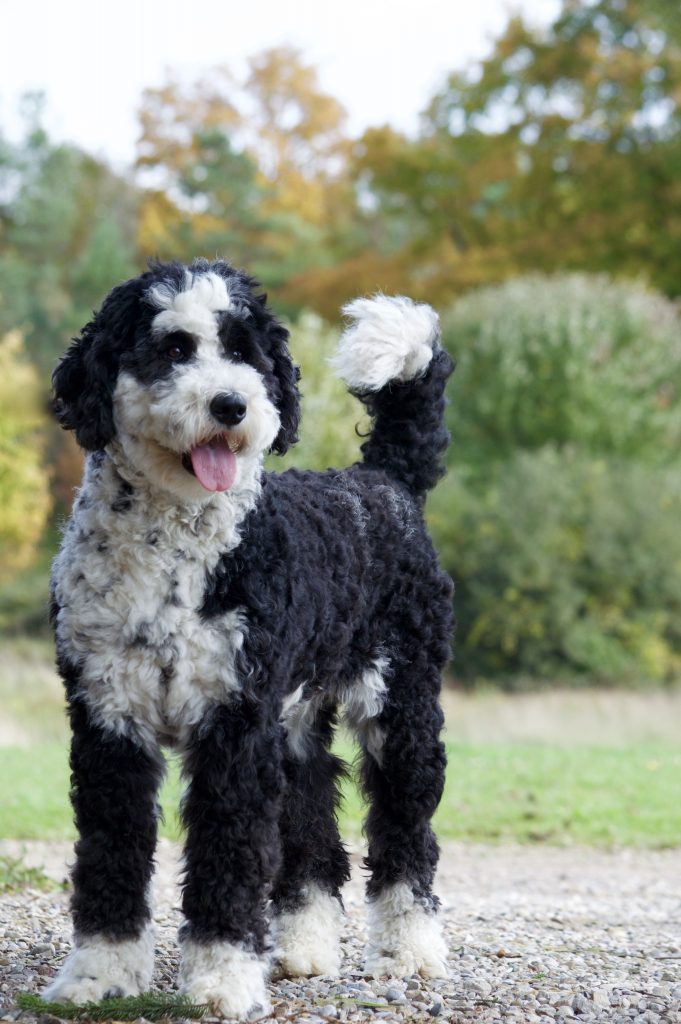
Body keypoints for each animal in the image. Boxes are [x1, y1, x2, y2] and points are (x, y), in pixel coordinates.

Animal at [46, 256, 450, 1015]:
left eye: (246, 352)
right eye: (173, 347)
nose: (231, 405)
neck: (174, 555)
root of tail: (382, 479)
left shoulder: (233, 727)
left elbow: (228, 857)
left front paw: (222, 979)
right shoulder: (111, 725)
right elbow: (112, 853)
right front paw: (101, 973)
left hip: (402, 711)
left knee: (406, 833)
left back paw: (408, 950)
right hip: (294, 725)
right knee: (313, 829)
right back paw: (303, 947)